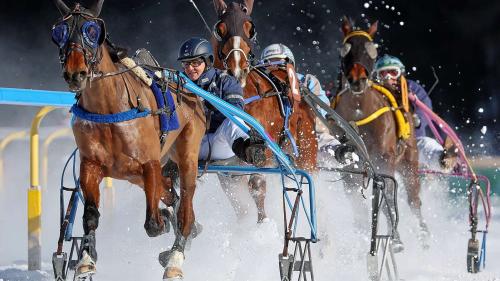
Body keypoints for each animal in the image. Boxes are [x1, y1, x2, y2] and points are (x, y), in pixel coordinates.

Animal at [51, 1, 205, 278]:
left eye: (92, 30)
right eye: (59, 32)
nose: (75, 74)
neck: (109, 109)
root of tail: (191, 92)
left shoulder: (149, 162)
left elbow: (153, 224)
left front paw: (163, 221)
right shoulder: (91, 163)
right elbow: (90, 214)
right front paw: (86, 259)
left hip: (188, 150)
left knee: (185, 204)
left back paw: (175, 256)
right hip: (131, 173)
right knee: (169, 188)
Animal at [211, 0, 316, 223]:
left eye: (250, 29)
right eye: (220, 29)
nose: (237, 69)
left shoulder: (264, 152)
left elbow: (257, 187)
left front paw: (263, 224)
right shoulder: (226, 168)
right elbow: (238, 201)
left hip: (307, 148)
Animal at [332, 17, 430, 250]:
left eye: (371, 51)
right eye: (345, 50)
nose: (357, 79)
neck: (359, 112)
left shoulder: (385, 159)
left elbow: (387, 198)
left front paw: (395, 238)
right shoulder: (350, 166)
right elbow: (357, 203)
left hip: (409, 159)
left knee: (414, 199)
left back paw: (423, 236)